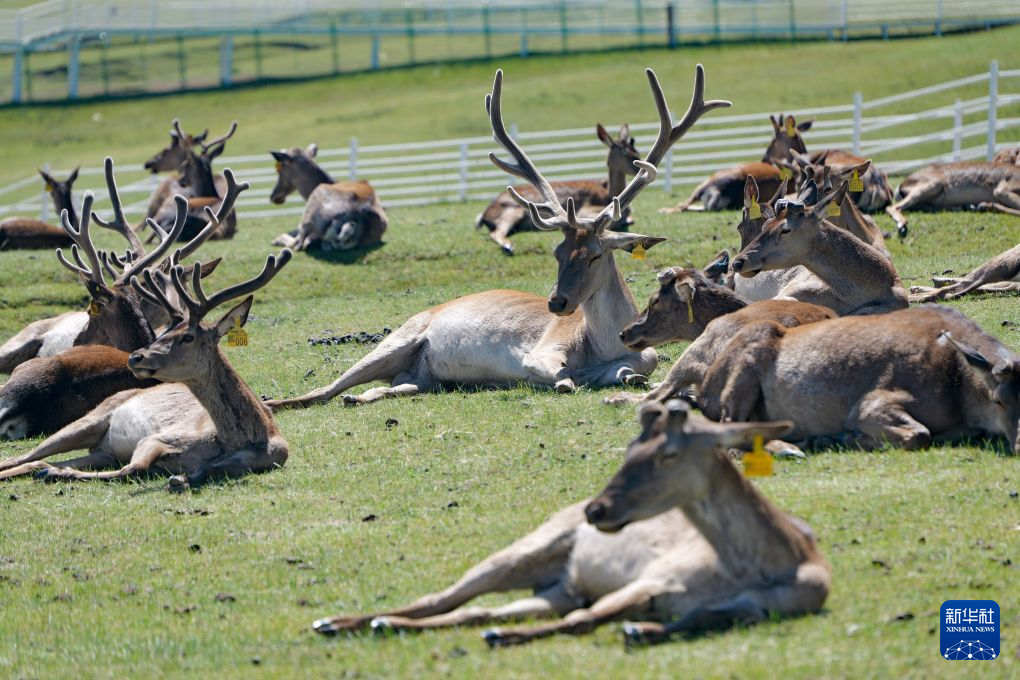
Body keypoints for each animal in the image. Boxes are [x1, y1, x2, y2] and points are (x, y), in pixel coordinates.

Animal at [0, 248, 293, 489]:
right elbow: (135, 467)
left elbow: (179, 473)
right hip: (90, 418)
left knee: (37, 461)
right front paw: (58, 474)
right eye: (167, 331)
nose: (136, 357)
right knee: (24, 456)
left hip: (101, 450)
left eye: (187, 337)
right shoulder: (157, 438)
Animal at [311, 399, 830, 648]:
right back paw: (338, 621)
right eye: (629, 447)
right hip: (528, 548)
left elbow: (702, 618)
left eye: (668, 454)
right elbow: (584, 622)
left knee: (474, 612)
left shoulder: (760, 608)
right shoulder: (653, 577)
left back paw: (384, 624)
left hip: (558, 587)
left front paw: (642, 631)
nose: (596, 511)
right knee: (441, 597)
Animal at [475, 123, 640, 255]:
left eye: (635, 150)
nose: (639, 164)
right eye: (625, 152)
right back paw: (509, 246)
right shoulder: (584, 210)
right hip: (513, 210)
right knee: (496, 232)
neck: (609, 193)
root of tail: (484, 214)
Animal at [700, 305, 1020, 454]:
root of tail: (703, 393)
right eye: (998, 401)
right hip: (745, 368)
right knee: (730, 435)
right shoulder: (870, 404)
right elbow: (920, 434)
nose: (1019, 446)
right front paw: (848, 437)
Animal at [884, 161, 1020, 234]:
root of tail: (901, 185)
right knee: (892, 207)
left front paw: (984, 205)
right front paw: (985, 205)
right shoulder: (1001, 191)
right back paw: (902, 226)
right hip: (934, 184)